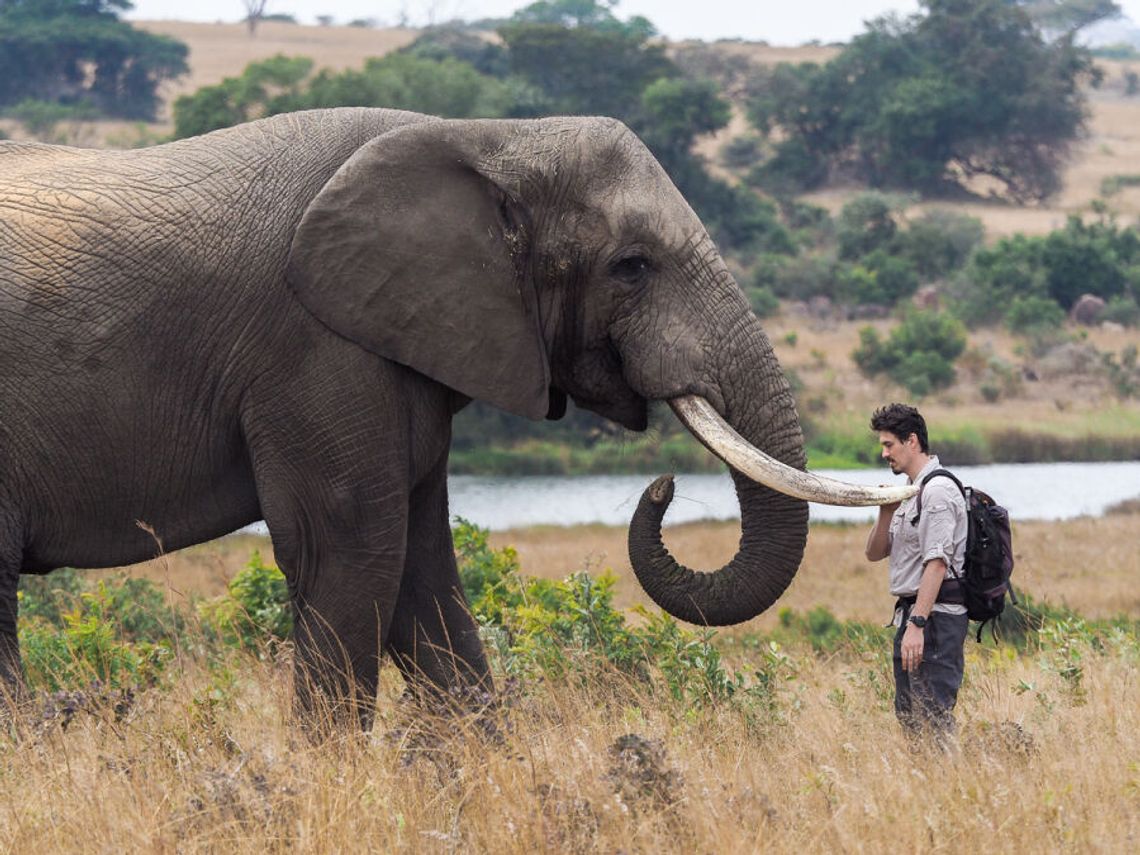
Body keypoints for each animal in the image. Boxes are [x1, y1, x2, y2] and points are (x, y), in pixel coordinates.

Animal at [0, 105, 907, 725]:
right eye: (632, 265)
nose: (662, 486)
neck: (491, 138)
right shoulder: (315, 344)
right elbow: (352, 553)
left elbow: (424, 571)